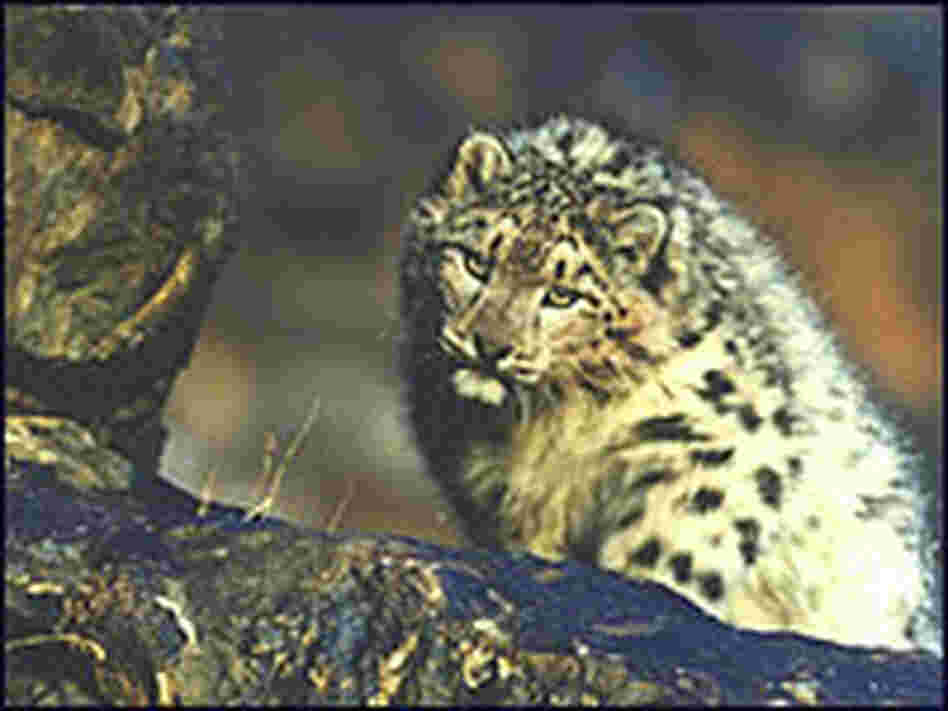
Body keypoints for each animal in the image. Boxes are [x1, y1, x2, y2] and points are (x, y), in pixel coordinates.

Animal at [397, 114, 940, 654]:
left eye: (562, 295)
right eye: (475, 262)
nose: (489, 346)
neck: (544, 425)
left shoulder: (719, 441)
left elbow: (673, 548)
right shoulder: (498, 489)